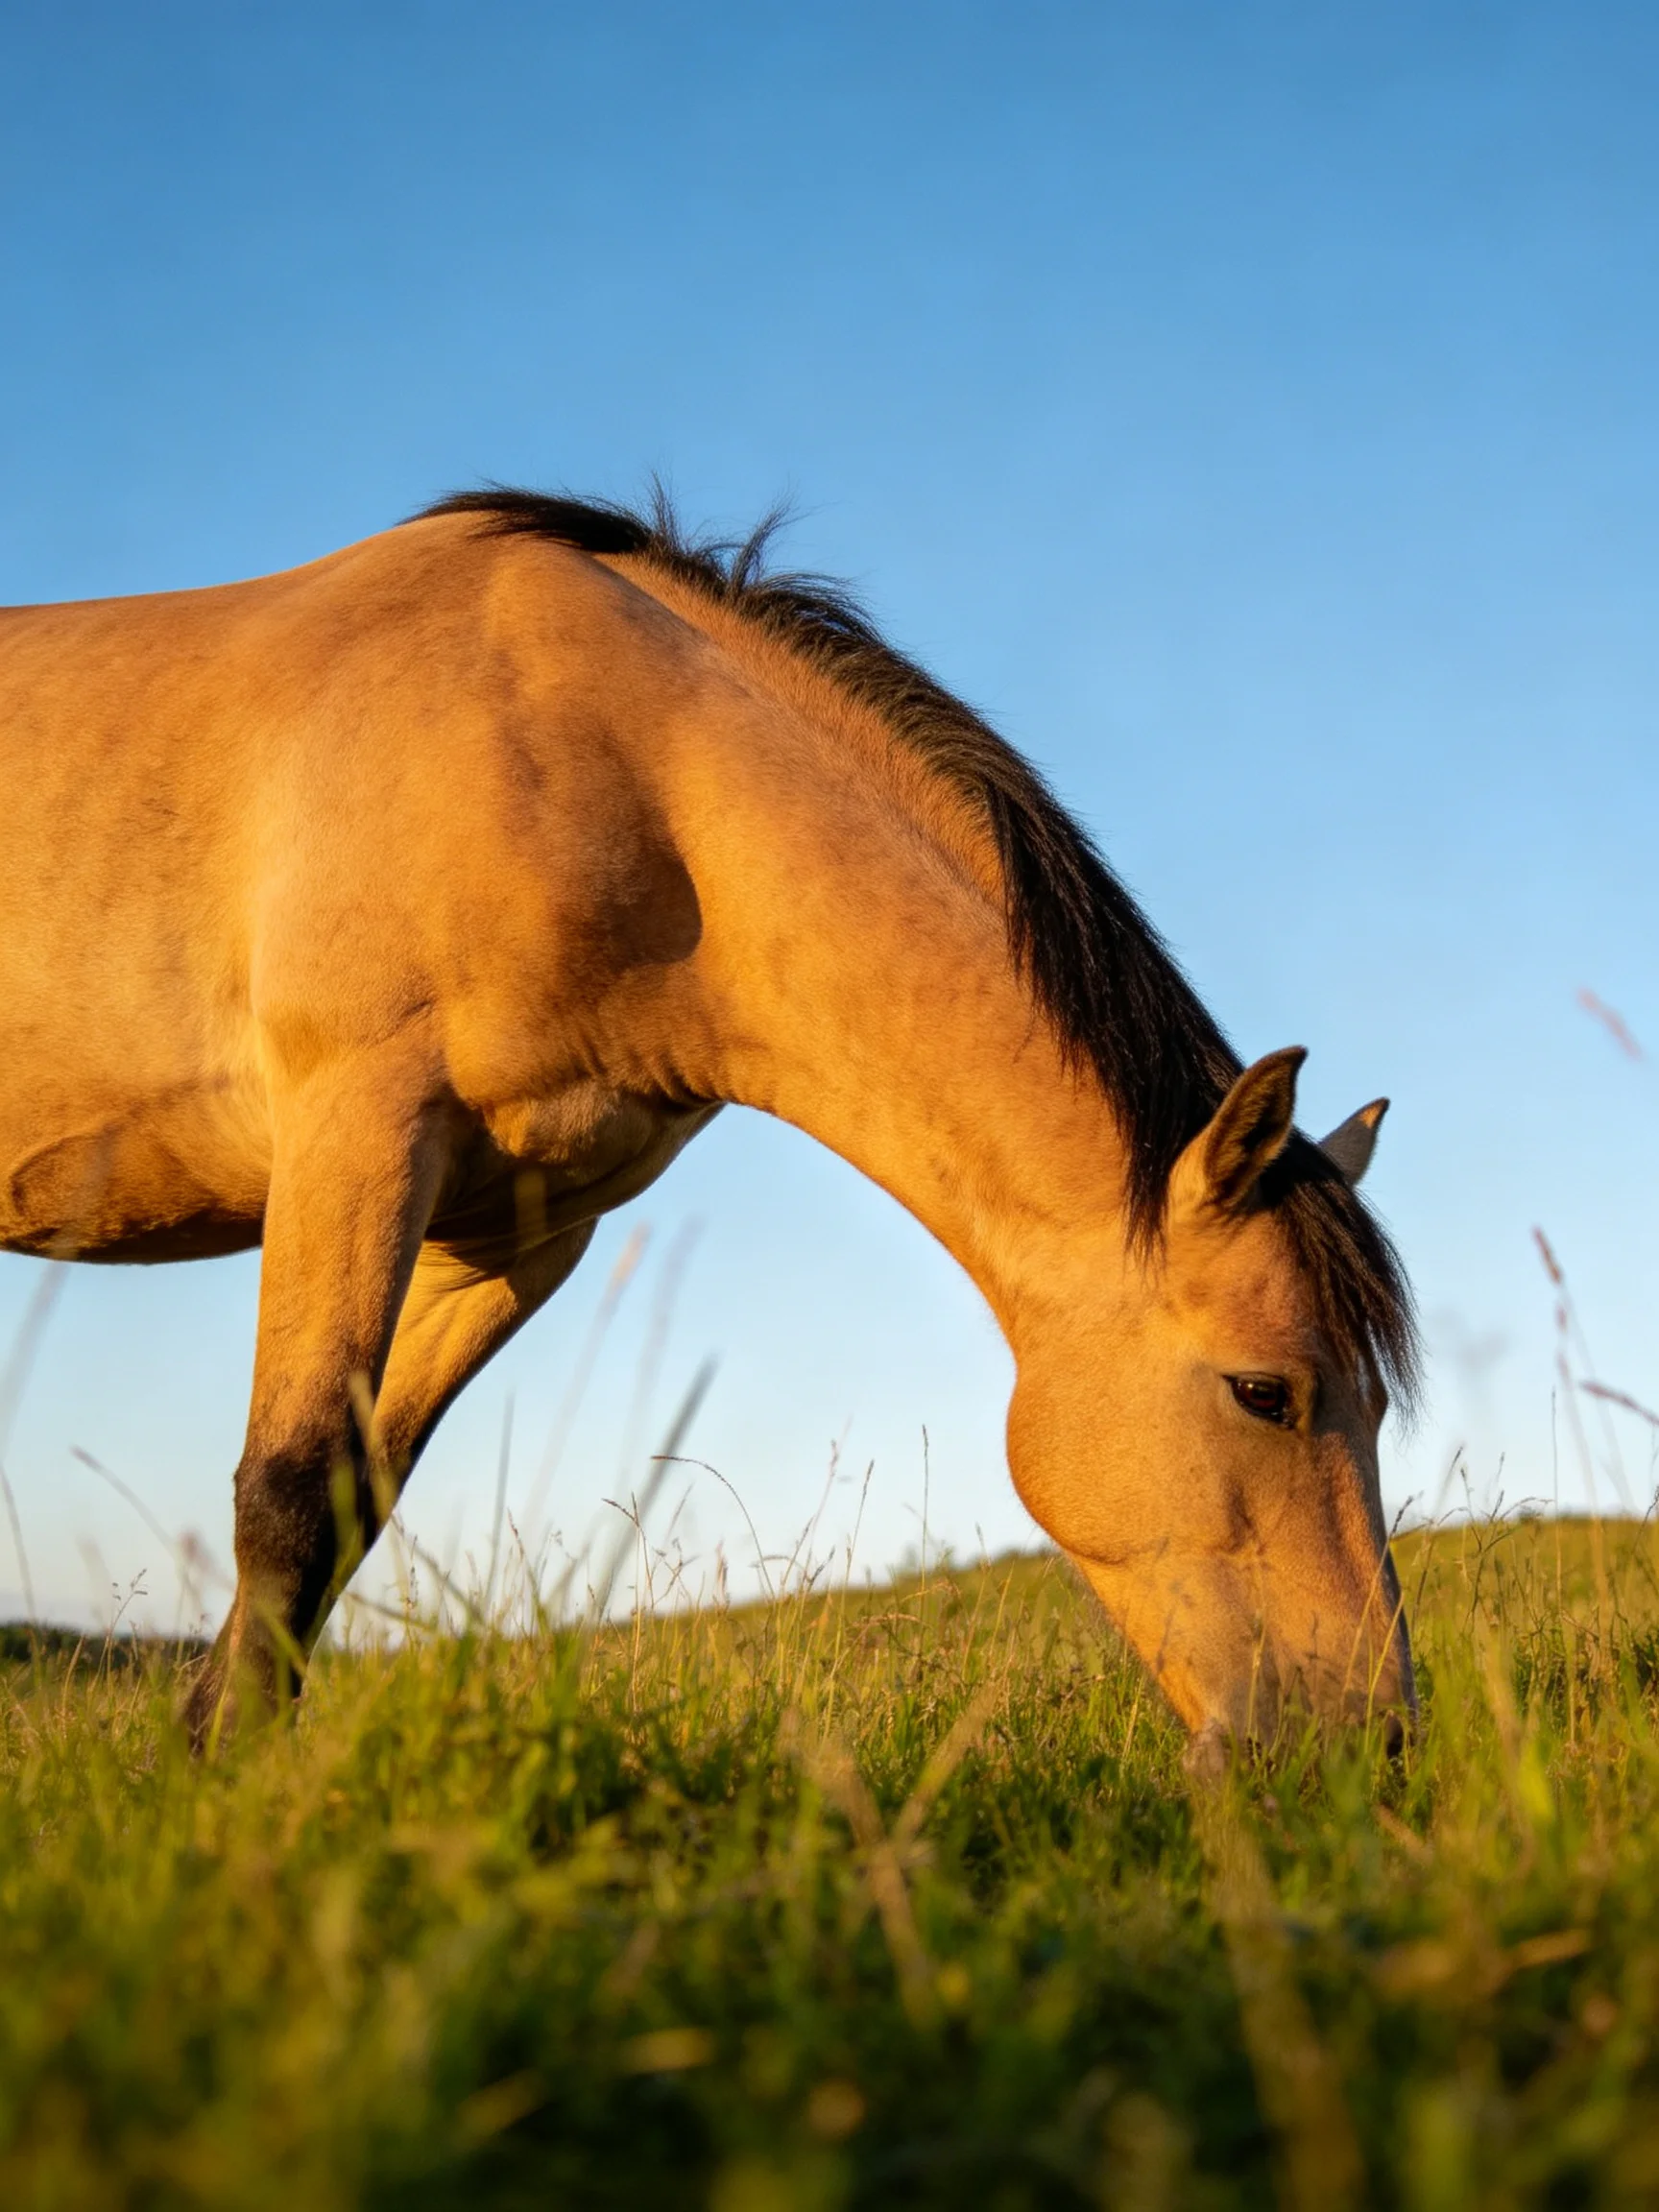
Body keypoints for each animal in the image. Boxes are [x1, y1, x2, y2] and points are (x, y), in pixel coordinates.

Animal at [0, 488, 1418, 1755]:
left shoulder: (510, 1240)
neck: (615, 768)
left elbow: (352, 1503)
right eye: (1264, 1392)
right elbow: (288, 1497)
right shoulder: (357, 1132)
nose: (1368, 1746)